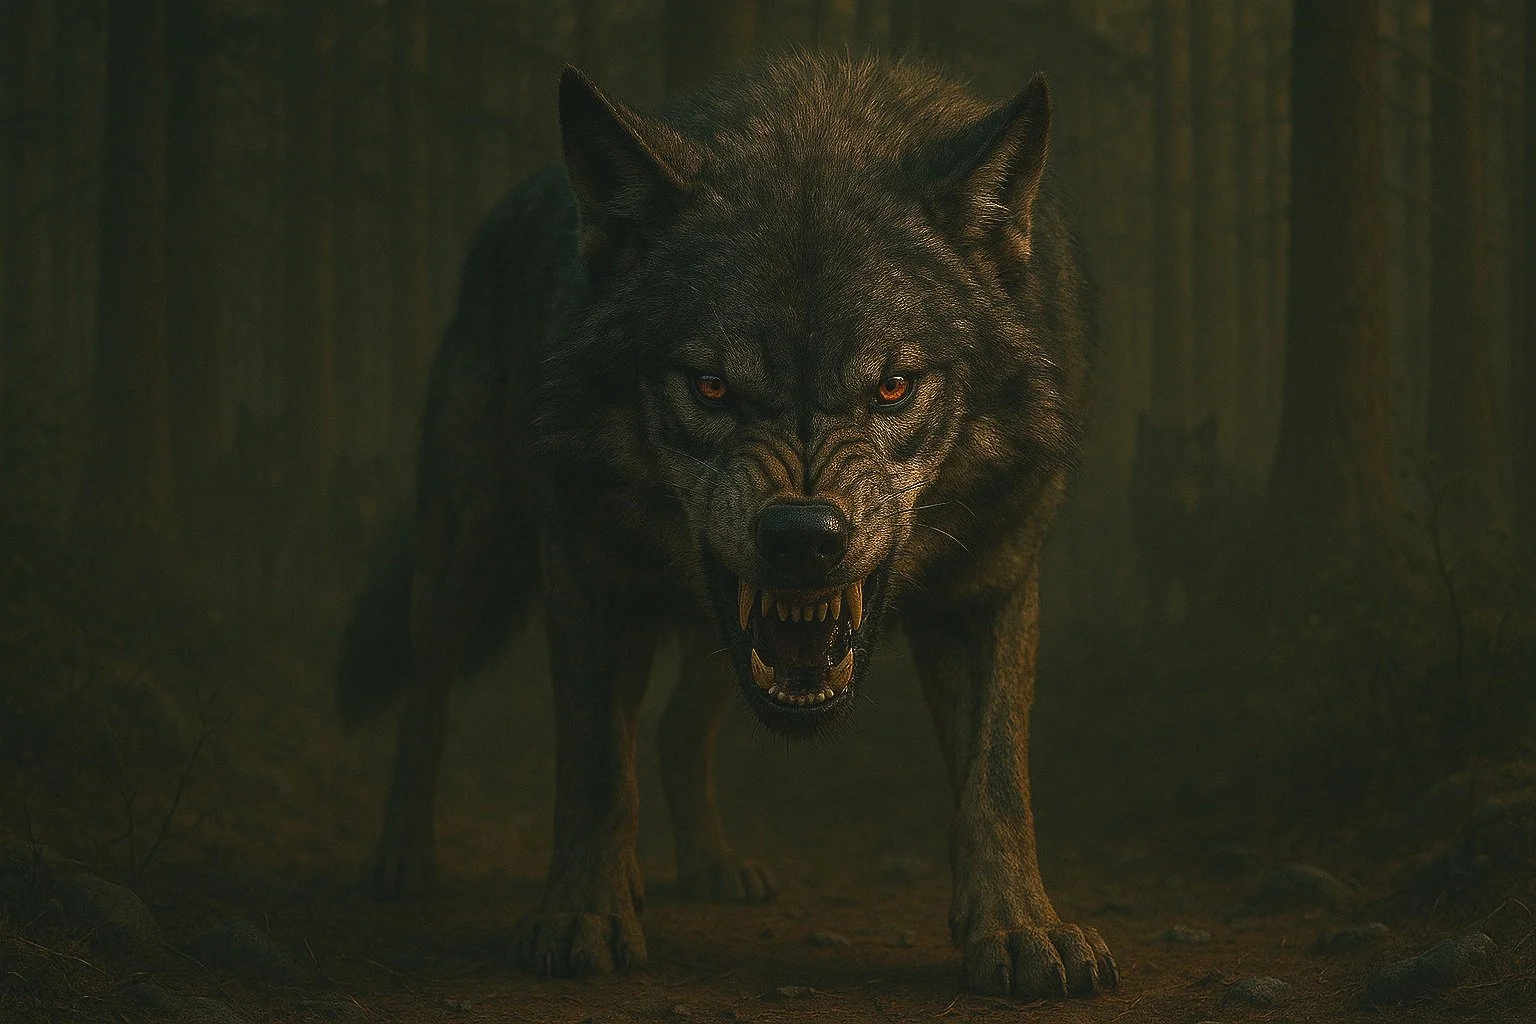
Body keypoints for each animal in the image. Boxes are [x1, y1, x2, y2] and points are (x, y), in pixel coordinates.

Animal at [337, 53, 1116, 999]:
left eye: (893, 386)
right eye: (711, 386)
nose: (805, 536)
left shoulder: (990, 586)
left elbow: (996, 781)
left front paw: (1019, 928)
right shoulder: (585, 572)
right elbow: (595, 770)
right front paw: (580, 915)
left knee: (674, 730)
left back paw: (709, 867)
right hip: (464, 555)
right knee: (428, 701)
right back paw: (404, 858)